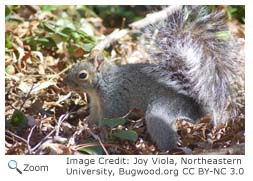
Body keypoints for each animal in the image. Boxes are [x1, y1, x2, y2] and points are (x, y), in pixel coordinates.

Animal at [64, 5, 242, 151]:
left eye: (82, 75)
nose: (65, 83)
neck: (101, 85)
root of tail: (197, 108)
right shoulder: (95, 104)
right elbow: (94, 116)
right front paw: (86, 123)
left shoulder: (114, 98)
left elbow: (112, 118)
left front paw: (101, 132)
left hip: (163, 110)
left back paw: (167, 150)